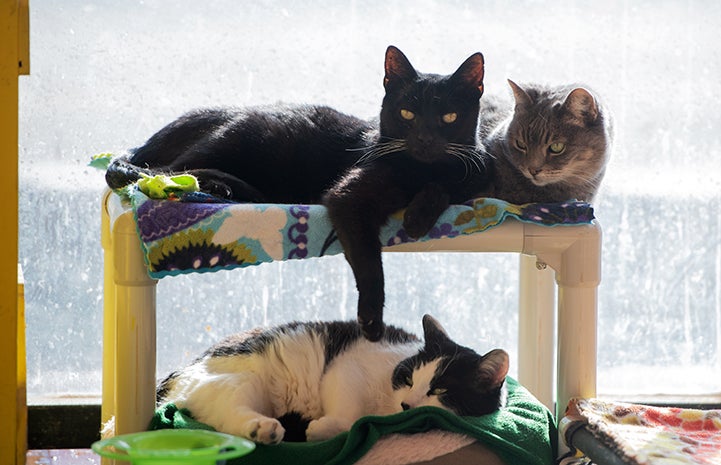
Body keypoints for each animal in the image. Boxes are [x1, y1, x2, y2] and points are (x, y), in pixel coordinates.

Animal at [105, 45, 490, 338]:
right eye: (407, 113)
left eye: (449, 117)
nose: (424, 139)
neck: (420, 169)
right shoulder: (348, 197)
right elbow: (369, 263)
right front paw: (371, 320)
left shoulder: (467, 178)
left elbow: (445, 188)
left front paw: (419, 215)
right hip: (243, 136)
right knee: (164, 173)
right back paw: (218, 186)